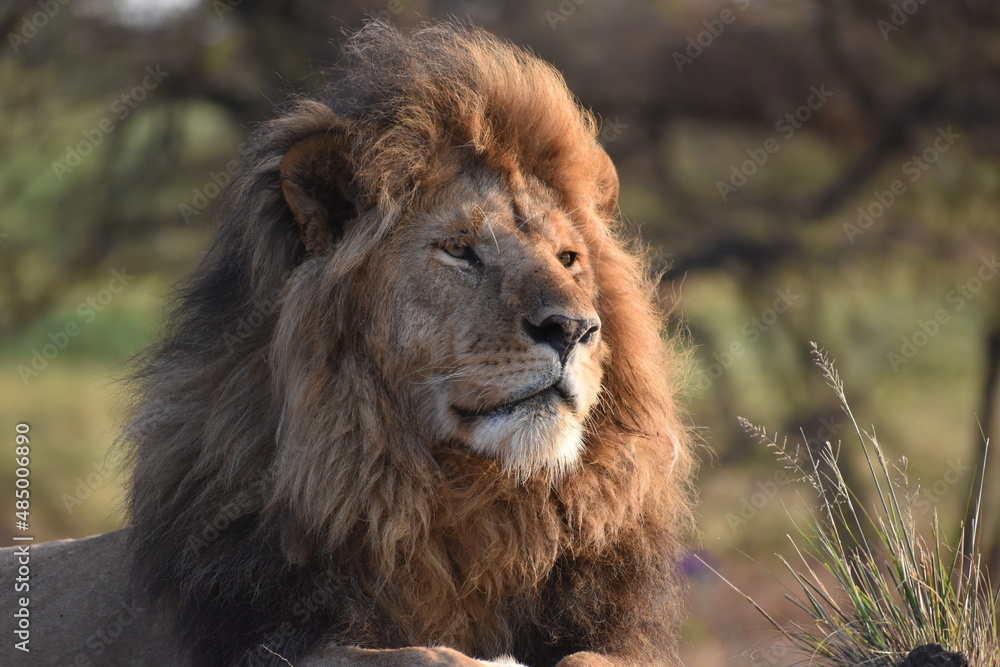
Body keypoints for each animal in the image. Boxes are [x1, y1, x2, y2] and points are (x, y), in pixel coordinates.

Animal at [0, 20, 692, 667]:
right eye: (459, 250)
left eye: (569, 258)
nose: (573, 329)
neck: (476, 507)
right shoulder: (280, 638)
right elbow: (422, 654)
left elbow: (594, 656)